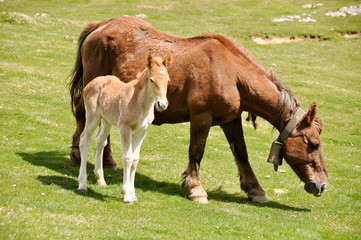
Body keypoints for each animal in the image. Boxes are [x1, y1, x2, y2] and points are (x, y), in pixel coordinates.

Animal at [76, 53, 172, 203]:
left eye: (167, 80)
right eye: (151, 80)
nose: (162, 104)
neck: (139, 102)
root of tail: (91, 83)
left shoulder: (141, 131)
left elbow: (135, 160)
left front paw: (133, 195)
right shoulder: (125, 128)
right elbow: (127, 158)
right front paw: (126, 195)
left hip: (107, 121)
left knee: (100, 141)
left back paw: (100, 179)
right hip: (93, 117)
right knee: (85, 140)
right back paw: (82, 184)